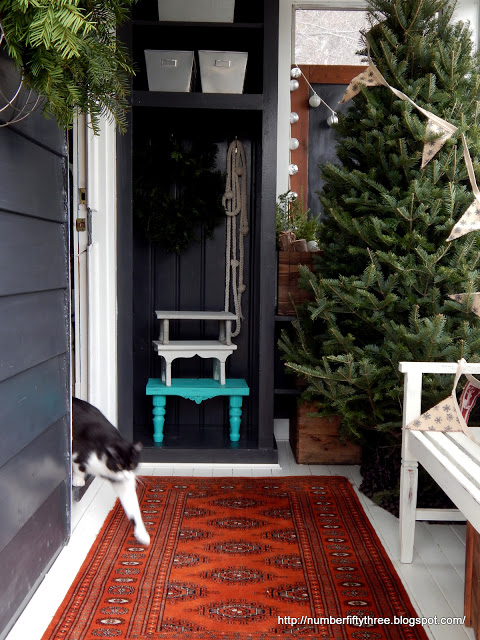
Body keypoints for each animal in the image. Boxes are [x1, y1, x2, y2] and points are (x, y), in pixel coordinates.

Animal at [71, 400, 149, 544]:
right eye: (118, 465)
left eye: (132, 464)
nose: (127, 475)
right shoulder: (79, 449)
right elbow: (78, 465)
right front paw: (78, 480)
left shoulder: (122, 482)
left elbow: (133, 507)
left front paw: (142, 534)